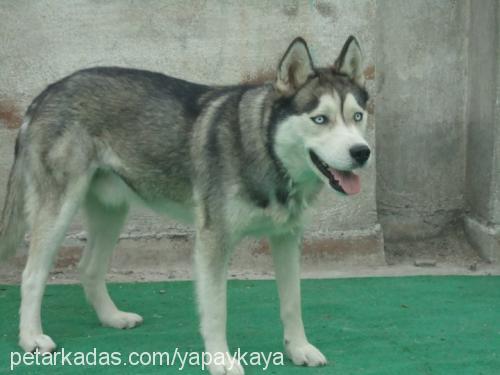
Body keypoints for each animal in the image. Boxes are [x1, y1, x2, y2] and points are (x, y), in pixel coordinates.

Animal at [0, 36, 372, 375]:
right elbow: (217, 309)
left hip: (111, 211)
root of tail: (47, 92)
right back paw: (31, 338)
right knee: (32, 274)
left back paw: (112, 317)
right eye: (320, 119)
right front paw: (220, 361)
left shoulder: (287, 238)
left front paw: (299, 349)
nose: (362, 152)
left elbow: (292, 302)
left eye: (357, 117)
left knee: (88, 267)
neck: (266, 151)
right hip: (59, 210)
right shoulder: (213, 241)